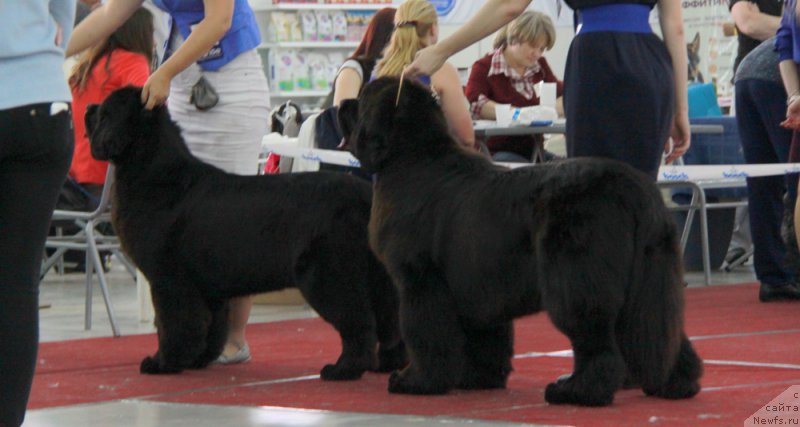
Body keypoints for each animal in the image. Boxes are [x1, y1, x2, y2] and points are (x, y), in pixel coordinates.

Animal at [86, 86, 406, 378]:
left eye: (105, 113)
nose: (89, 107)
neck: (157, 176)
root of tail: (365, 194)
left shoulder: (168, 279)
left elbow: (173, 324)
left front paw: (164, 362)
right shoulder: (207, 287)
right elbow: (210, 326)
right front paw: (199, 359)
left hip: (328, 275)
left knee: (359, 321)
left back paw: (344, 369)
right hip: (374, 274)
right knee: (390, 318)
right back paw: (387, 365)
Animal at [340, 77, 704, 408]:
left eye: (362, 99)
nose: (342, 102)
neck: (412, 157)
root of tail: (635, 190)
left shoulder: (419, 280)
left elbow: (424, 331)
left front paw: (417, 381)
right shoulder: (478, 284)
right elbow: (487, 338)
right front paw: (478, 379)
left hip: (575, 280)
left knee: (598, 344)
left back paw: (577, 392)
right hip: (650, 278)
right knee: (660, 329)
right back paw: (676, 385)